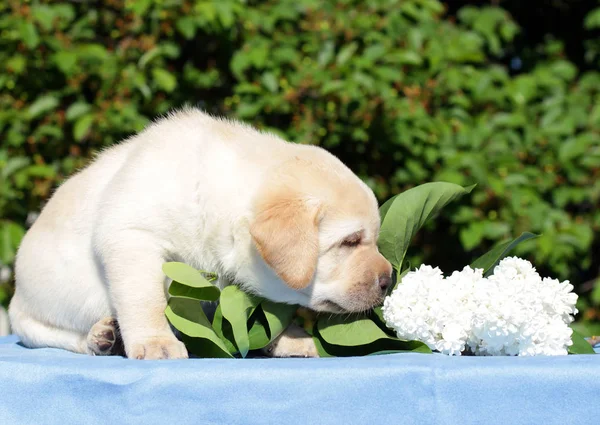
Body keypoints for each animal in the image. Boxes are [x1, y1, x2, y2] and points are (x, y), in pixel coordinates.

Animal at [10, 108, 394, 358]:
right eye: (350, 241)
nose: (389, 280)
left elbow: (262, 314)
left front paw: (288, 338)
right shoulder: (131, 236)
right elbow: (144, 299)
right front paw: (156, 342)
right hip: (32, 312)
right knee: (47, 333)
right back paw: (97, 338)